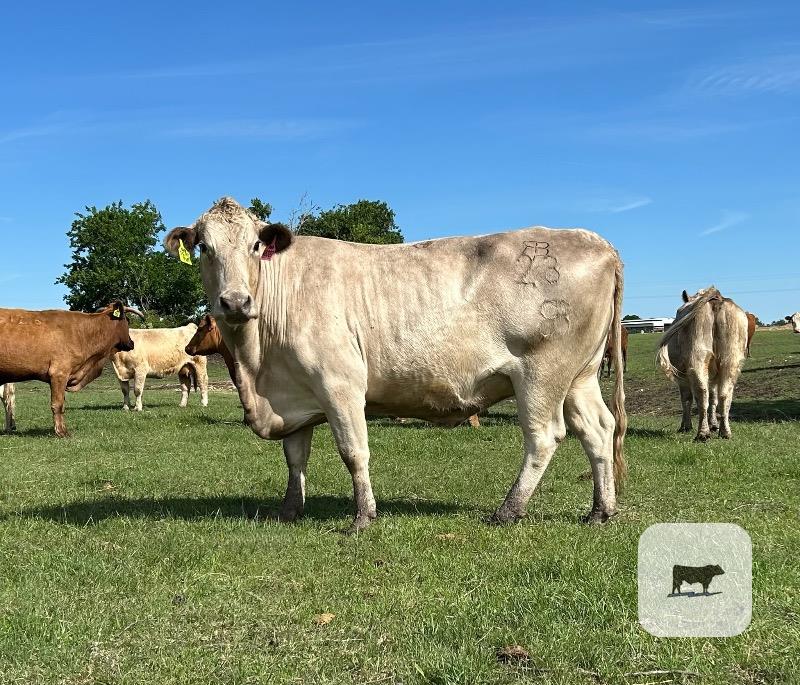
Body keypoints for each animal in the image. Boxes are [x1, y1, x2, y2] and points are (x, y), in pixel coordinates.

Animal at [0, 301, 141, 436]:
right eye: (127, 320)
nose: (132, 343)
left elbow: (62, 405)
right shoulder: (59, 373)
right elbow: (57, 404)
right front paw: (61, 432)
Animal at [165, 197, 627, 532]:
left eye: (255, 246)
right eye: (204, 248)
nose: (235, 301)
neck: (257, 370)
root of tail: (598, 243)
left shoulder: (340, 384)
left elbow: (354, 451)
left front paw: (363, 517)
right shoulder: (294, 392)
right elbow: (295, 456)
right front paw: (289, 509)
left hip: (541, 374)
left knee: (544, 437)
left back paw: (509, 510)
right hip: (580, 376)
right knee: (598, 430)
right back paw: (600, 511)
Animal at [658, 287, 748, 441]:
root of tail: (716, 299)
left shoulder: (681, 376)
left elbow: (686, 399)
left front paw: (685, 426)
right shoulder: (712, 378)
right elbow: (713, 399)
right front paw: (714, 425)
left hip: (697, 358)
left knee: (701, 394)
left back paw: (703, 433)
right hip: (730, 361)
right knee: (724, 396)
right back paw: (724, 432)